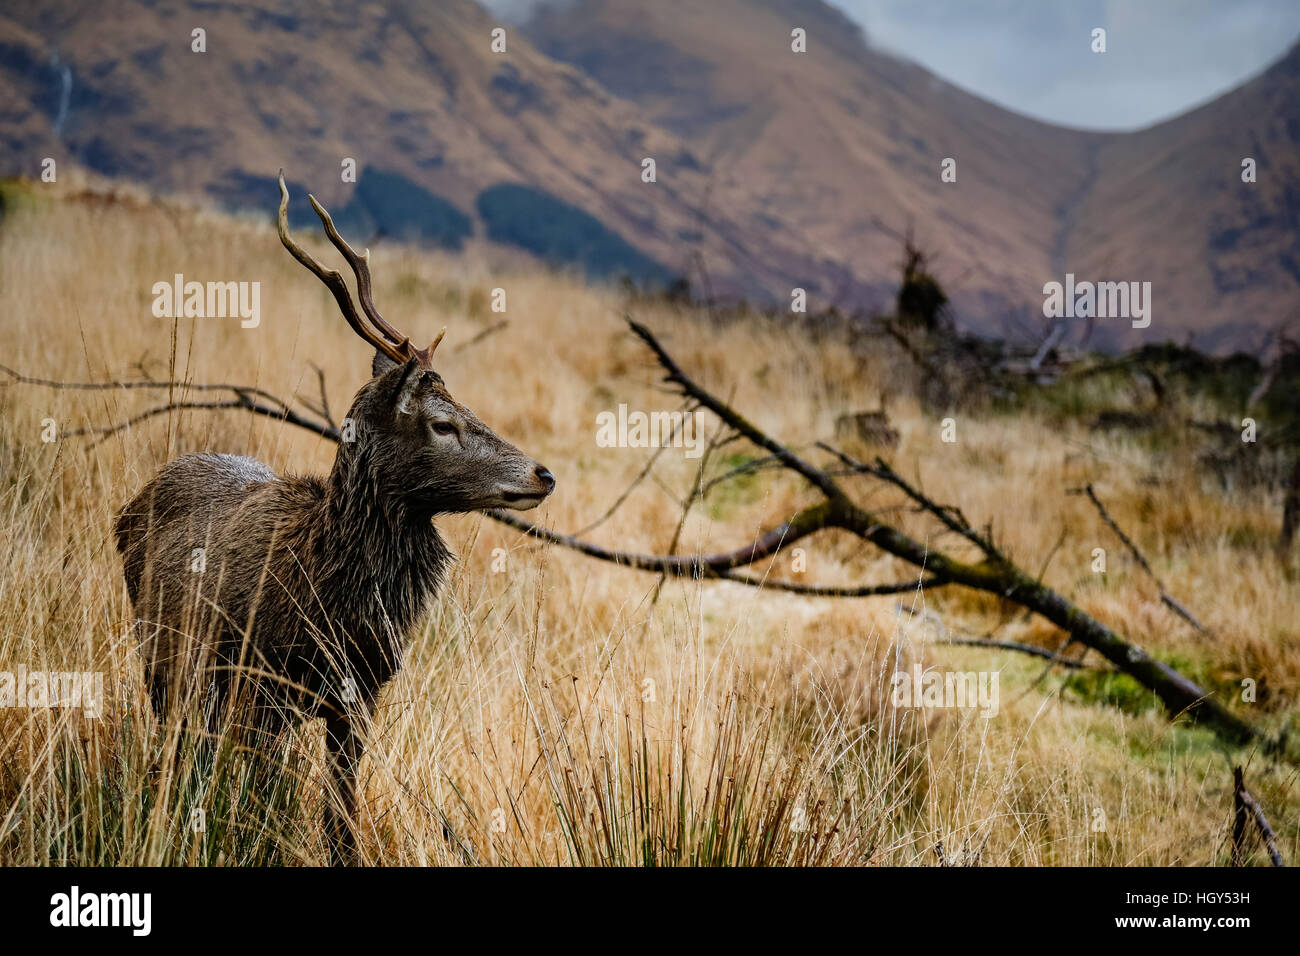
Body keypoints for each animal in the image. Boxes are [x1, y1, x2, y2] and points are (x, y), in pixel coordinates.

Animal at [114, 170, 556, 858]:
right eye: (442, 422)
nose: (543, 474)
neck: (331, 595)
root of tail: (127, 510)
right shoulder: (259, 685)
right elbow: (260, 803)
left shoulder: (359, 696)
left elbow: (340, 820)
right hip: (165, 657)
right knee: (177, 752)